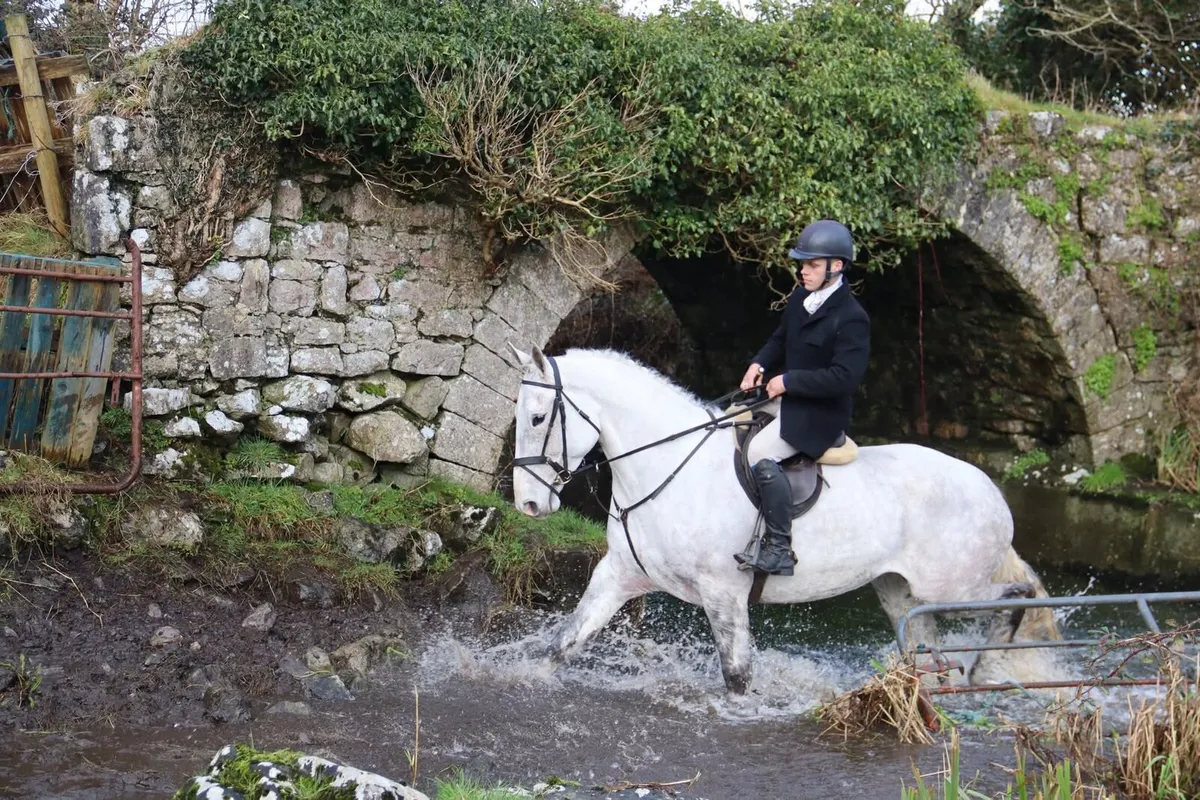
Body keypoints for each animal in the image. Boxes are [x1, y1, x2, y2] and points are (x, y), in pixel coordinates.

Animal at [506, 344, 1061, 694]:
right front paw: (524, 680)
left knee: (1016, 596)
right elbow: (564, 644)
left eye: (537, 418)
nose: (528, 505)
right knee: (928, 648)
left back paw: (985, 668)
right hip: (899, 590)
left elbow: (736, 676)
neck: (667, 466)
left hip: (952, 584)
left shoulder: (723, 592)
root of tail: (989, 487)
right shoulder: (618, 574)